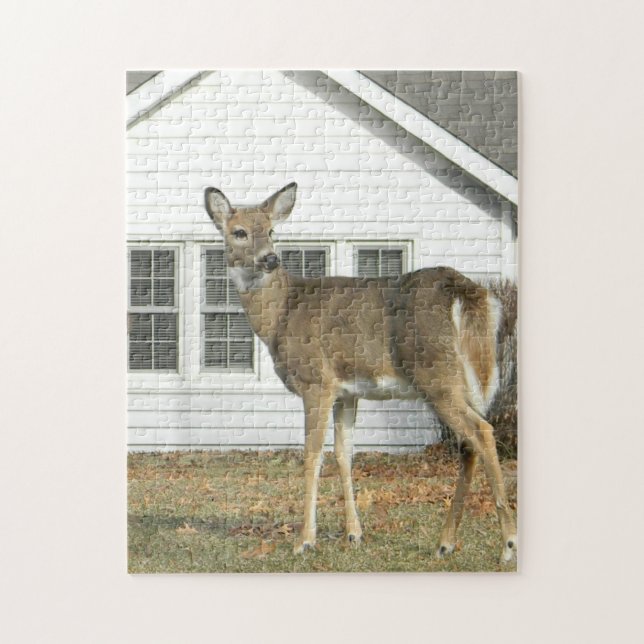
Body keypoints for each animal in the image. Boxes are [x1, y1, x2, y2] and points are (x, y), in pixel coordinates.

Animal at [204, 183, 517, 563]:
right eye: (239, 232)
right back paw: (446, 542)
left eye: (272, 230)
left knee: (482, 432)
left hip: (437, 375)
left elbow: (312, 455)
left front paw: (304, 540)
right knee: (469, 442)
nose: (270, 259)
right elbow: (344, 454)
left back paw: (508, 544)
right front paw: (354, 534)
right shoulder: (347, 391)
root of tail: (465, 290)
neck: (281, 314)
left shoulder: (317, 381)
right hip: (466, 379)